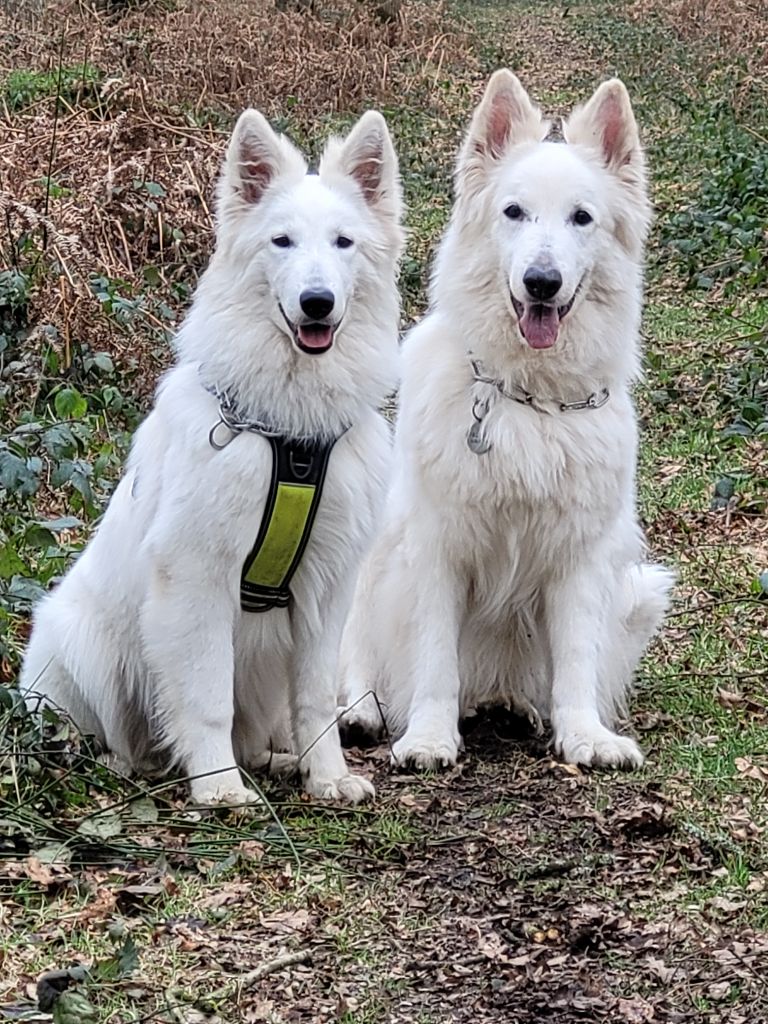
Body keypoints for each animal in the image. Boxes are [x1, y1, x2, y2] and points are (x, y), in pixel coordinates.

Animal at [19, 105, 403, 806]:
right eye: (282, 242)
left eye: (343, 243)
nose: (317, 303)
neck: (287, 431)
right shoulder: (198, 578)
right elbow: (204, 699)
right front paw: (218, 788)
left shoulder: (326, 588)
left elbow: (315, 699)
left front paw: (327, 777)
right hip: (84, 642)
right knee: (103, 735)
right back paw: (136, 764)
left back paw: (279, 761)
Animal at [342, 70, 671, 770]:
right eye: (514, 212)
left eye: (582, 218)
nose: (542, 282)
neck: (532, 398)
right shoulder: (436, 547)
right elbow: (434, 659)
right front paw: (429, 737)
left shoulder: (581, 559)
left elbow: (575, 658)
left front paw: (584, 736)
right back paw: (360, 711)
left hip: (639, 590)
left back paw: (520, 706)